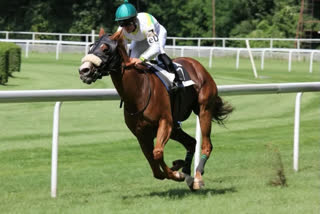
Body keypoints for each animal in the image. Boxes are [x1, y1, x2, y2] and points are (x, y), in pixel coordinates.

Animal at [77, 28, 232, 191]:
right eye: (91, 47)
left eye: (105, 49)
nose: (84, 70)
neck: (139, 91)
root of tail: (197, 64)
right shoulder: (141, 134)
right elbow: (155, 167)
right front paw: (177, 168)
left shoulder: (165, 122)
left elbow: (157, 153)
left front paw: (176, 173)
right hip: (176, 127)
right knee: (191, 142)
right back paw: (187, 173)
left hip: (204, 110)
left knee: (206, 144)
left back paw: (197, 177)